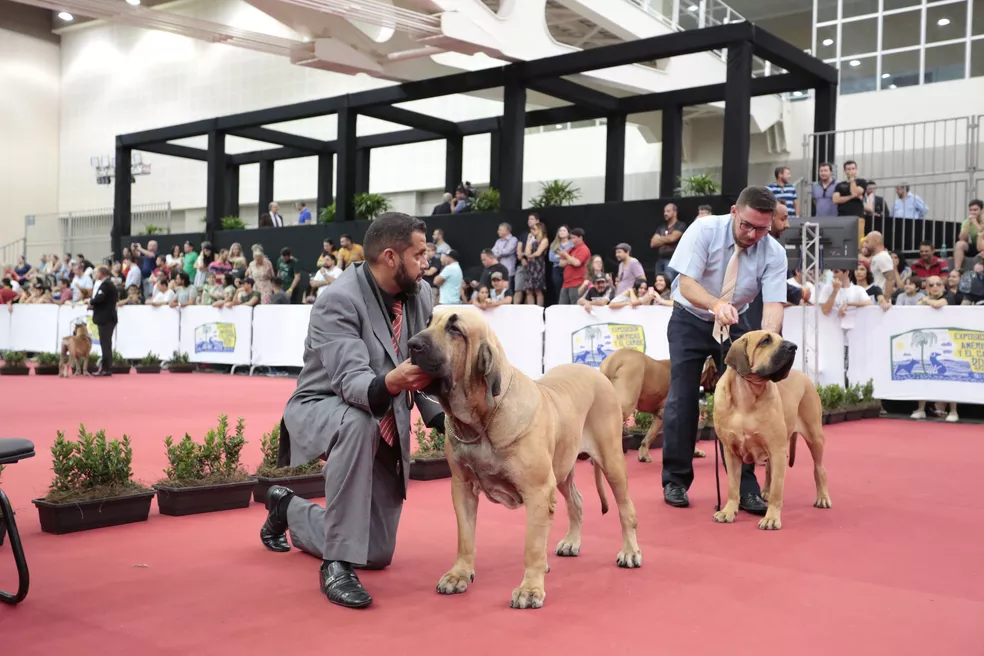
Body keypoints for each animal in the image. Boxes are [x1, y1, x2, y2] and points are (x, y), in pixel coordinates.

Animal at [406, 308, 640, 608]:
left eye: (455, 329)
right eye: (428, 321)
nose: (412, 344)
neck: (480, 421)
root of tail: (598, 373)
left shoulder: (538, 491)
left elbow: (532, 546)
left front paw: (530, 589)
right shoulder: (462, 487)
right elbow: (465, 537)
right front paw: (459, 575)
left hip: (610, 460)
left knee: (625, 508)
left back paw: (630, 551)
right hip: (562, 467)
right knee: (576, 500)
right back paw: (572, 542)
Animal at [716, 330, 832, 532]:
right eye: (765, 341)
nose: (793, 347)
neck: (747, 394)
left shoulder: (777, 450)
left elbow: (778, 488)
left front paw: (771, 518)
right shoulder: (731, 452)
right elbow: (733, 486)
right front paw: (728, 511)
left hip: (814, 436)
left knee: (819, 468)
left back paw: (822, 497)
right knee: (769, 470)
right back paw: (765, 492)